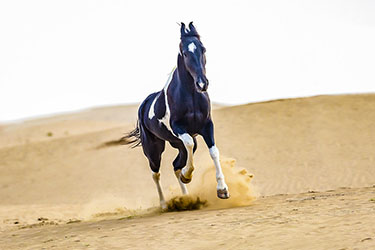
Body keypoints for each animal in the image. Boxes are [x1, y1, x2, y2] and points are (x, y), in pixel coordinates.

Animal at [123, 22, 229, 209]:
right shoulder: (178, 128)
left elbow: (214, 152)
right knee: (155, 173)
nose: (202, 84)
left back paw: (186, 198)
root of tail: (143, 105)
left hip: (177, 143)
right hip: (153, 148)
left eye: (203, 49)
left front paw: (222, 189)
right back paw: (164, 204)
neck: (191, 95)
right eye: (185, 52)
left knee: (175, 165)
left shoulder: (207, 126)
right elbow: (188, 146)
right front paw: (187, 175)